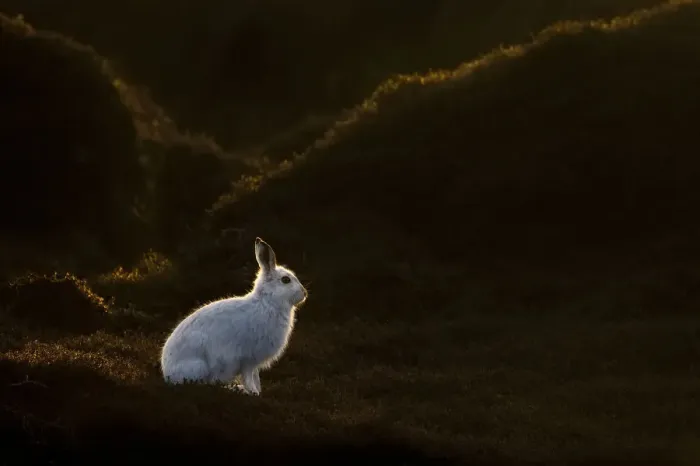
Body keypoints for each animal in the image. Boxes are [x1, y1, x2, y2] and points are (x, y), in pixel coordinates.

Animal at [160, 237, 308, 395]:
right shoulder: (248, 359)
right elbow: (249, 376)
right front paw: (254, 392)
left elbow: (255, 376)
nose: (304, 293)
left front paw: (257, 390)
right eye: (286, 280)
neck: (267, 302)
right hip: (199, 365)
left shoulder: (254, 363)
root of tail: (168, 373)